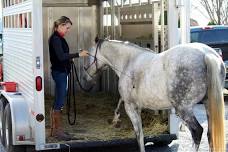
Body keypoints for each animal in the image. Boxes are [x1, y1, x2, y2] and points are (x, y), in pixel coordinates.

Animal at [84, 39, 226, 152]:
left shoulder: (131, 107)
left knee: (197, 132)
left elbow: (139, 135)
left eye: (89, 55)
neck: (128, 61)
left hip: (184, 109)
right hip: (208, 104)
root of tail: (206, 54)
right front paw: (115, 119)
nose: (86, 77)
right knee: (210, 134)